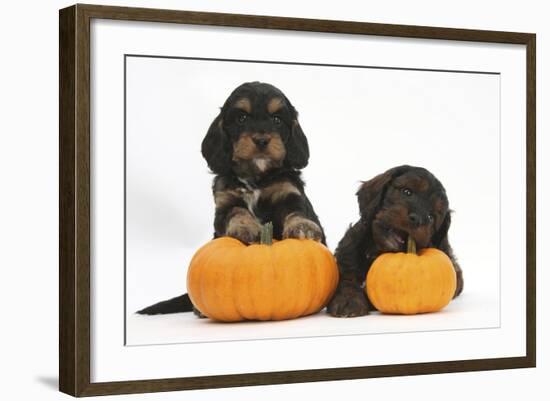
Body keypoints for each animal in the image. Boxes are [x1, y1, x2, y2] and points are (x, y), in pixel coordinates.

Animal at [138, 80, 326, 316]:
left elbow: (297, 212)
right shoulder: (225, 203)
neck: (256, 177)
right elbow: (237, 212)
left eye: (277, 120)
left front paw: (303, 227)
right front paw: (246, 228)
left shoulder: (289, 193)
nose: (261, 139)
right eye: (241, 118)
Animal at [328, 164, 466, 318]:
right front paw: (348, 299)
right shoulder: (347, 254)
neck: (376, 250)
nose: (417, 219)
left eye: (431, 217)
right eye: (407, 192)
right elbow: (347, 278)